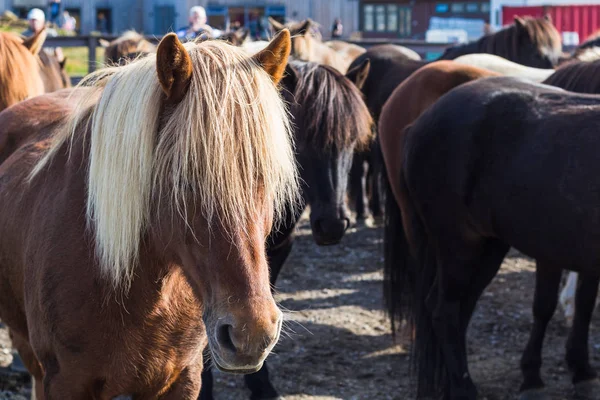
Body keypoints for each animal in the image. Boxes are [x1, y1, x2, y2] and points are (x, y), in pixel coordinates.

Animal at [384, 76, 600, 400]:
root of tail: (419, 123)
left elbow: (582, 305)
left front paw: (581, 370)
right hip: (457, 245)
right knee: (445, 311)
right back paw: (464, 389)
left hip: (489, 247)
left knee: (461, 308)